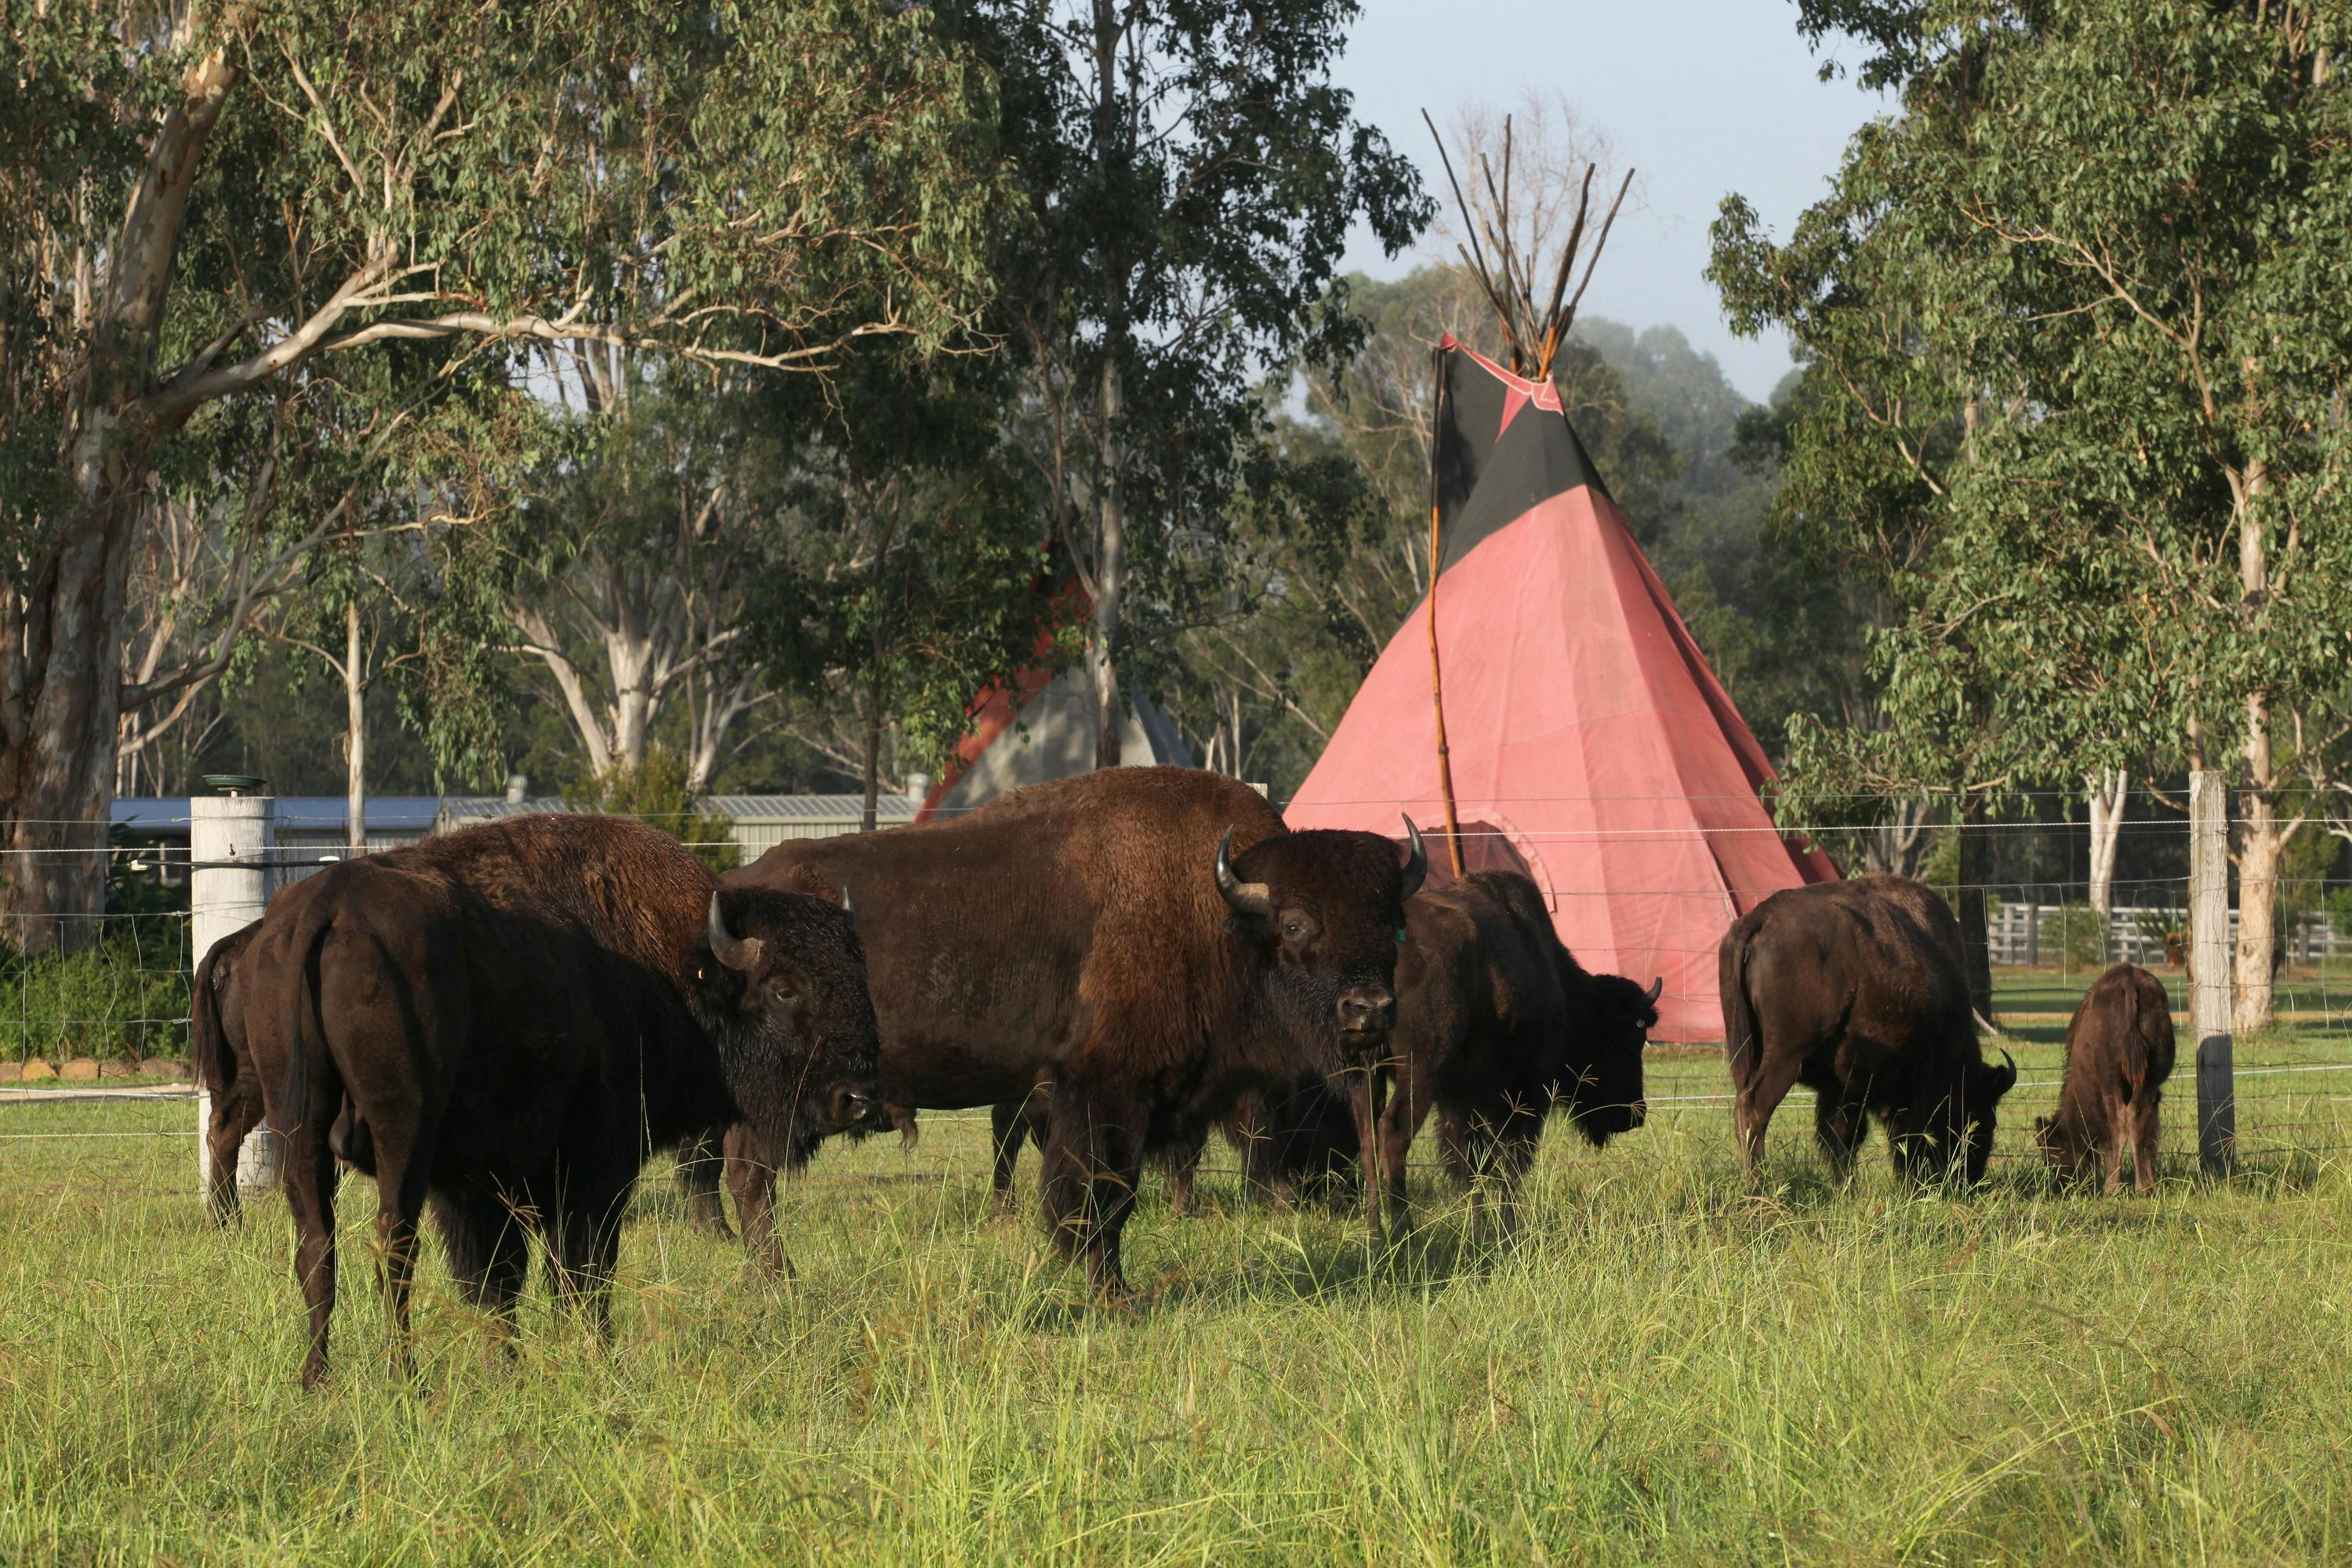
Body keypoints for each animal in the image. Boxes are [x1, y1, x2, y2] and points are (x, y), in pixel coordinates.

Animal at [243, 808, 884, 1382]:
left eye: (858, 980)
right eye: (784, 989)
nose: (856, 1099)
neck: (679, 962)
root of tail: (326, 907)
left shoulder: (479, 1185)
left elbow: (495, 1280)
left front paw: (508, 1368)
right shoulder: (595, 1169)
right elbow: (581, 1271)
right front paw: (599, 1360)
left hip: (297, 1124)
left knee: (317, 1247)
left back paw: (317, 1377)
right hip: (402, 1131)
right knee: (393, 1244)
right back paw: (406, 1378)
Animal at [715, 766, 1421, 1298]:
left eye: (1393, 921)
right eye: (1296, 924)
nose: (1369, 1009)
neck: (1214, 913)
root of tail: (731, 893)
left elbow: (1114, 1194)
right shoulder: (1105, 1092)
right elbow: (1102, 1196)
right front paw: (1112, 1295)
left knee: (745, 1176)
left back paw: (772, 1279)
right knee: (751, 1178)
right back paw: (780, 1281)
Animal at [1712, 879, 2023, 1185]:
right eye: (1980, 1117)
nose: (1971, 1179)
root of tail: (1760, 918)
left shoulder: (1841, 1088)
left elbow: (1842, 1136)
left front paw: (1846, 1186)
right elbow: (1905, 1135)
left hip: (1746, 1053)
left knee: (1743, 1106)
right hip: (1786, 1056)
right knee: (1755, 1107)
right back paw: (1759, 1184)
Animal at [2032, 964, 2173, 1194]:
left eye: (2052, 1156)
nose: (2062, 1185)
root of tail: (2129, 982)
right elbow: (2151, 1132)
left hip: (2111, 1078)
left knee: (2118, 1120)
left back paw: (2112, 1187)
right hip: (2149, 1078)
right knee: (2139, 1118)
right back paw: (2145, 1187)